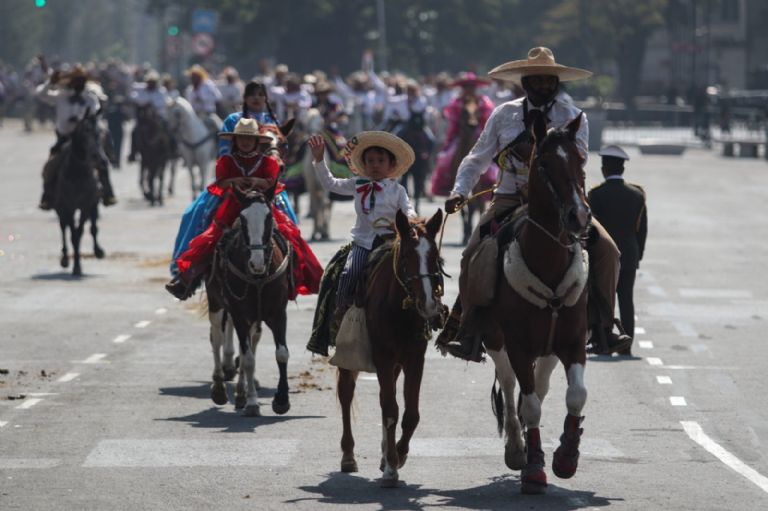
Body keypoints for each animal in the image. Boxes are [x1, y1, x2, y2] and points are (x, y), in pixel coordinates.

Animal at [338, 209, 450, 488]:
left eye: (435, 257)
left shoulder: (414, 359)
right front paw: (390, 468)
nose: (429, 305)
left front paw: (397, 456)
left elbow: (410, 414)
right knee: (346, 395)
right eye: (407, 256)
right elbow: (390, 409)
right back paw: (348, 456)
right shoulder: (383, 358)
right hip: (348, 359)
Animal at [474, 113, 592, 496]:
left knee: (540, 388)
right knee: (512, 388)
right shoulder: (518, 346)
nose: (578, 216)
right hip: (497, 342)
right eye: (543, 163)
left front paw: (566, 457)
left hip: (549, 351)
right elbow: (530, 405)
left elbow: (576, 395)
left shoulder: (571, 342)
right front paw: (534, 467)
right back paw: (517, 448)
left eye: (580, 159)